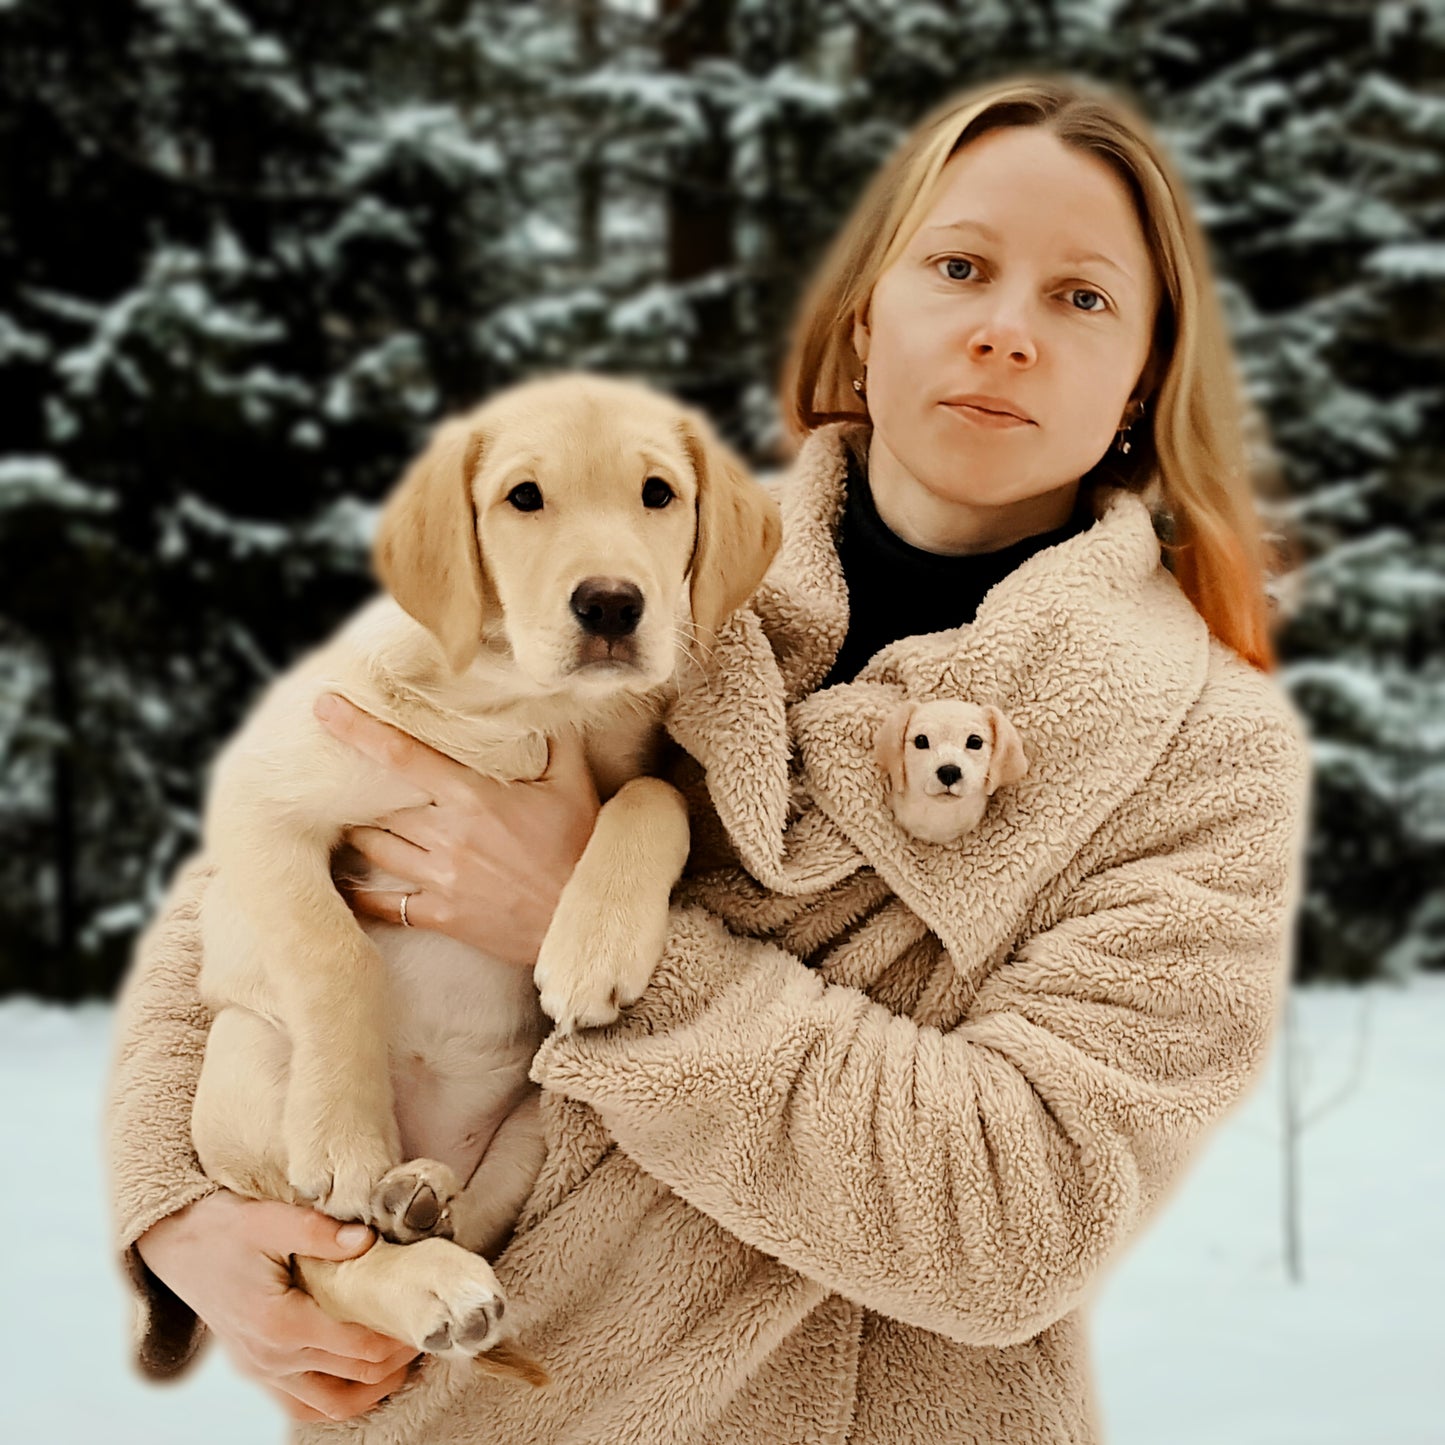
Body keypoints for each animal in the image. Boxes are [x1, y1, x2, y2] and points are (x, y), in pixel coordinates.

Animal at [192, 375, 786, 1387]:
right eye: (523, 498)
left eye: (658, 494)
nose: (611, 606)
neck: (523, 699)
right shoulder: (262, 796)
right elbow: (332, 950)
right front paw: (345, 1137)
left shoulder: (640, 764)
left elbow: (651, 798)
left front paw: (592, 950)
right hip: (247, 1053)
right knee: (326, 1259)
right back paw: (416, 1259)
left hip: (541, 1118)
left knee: (473, 1220)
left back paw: (419, 1202)